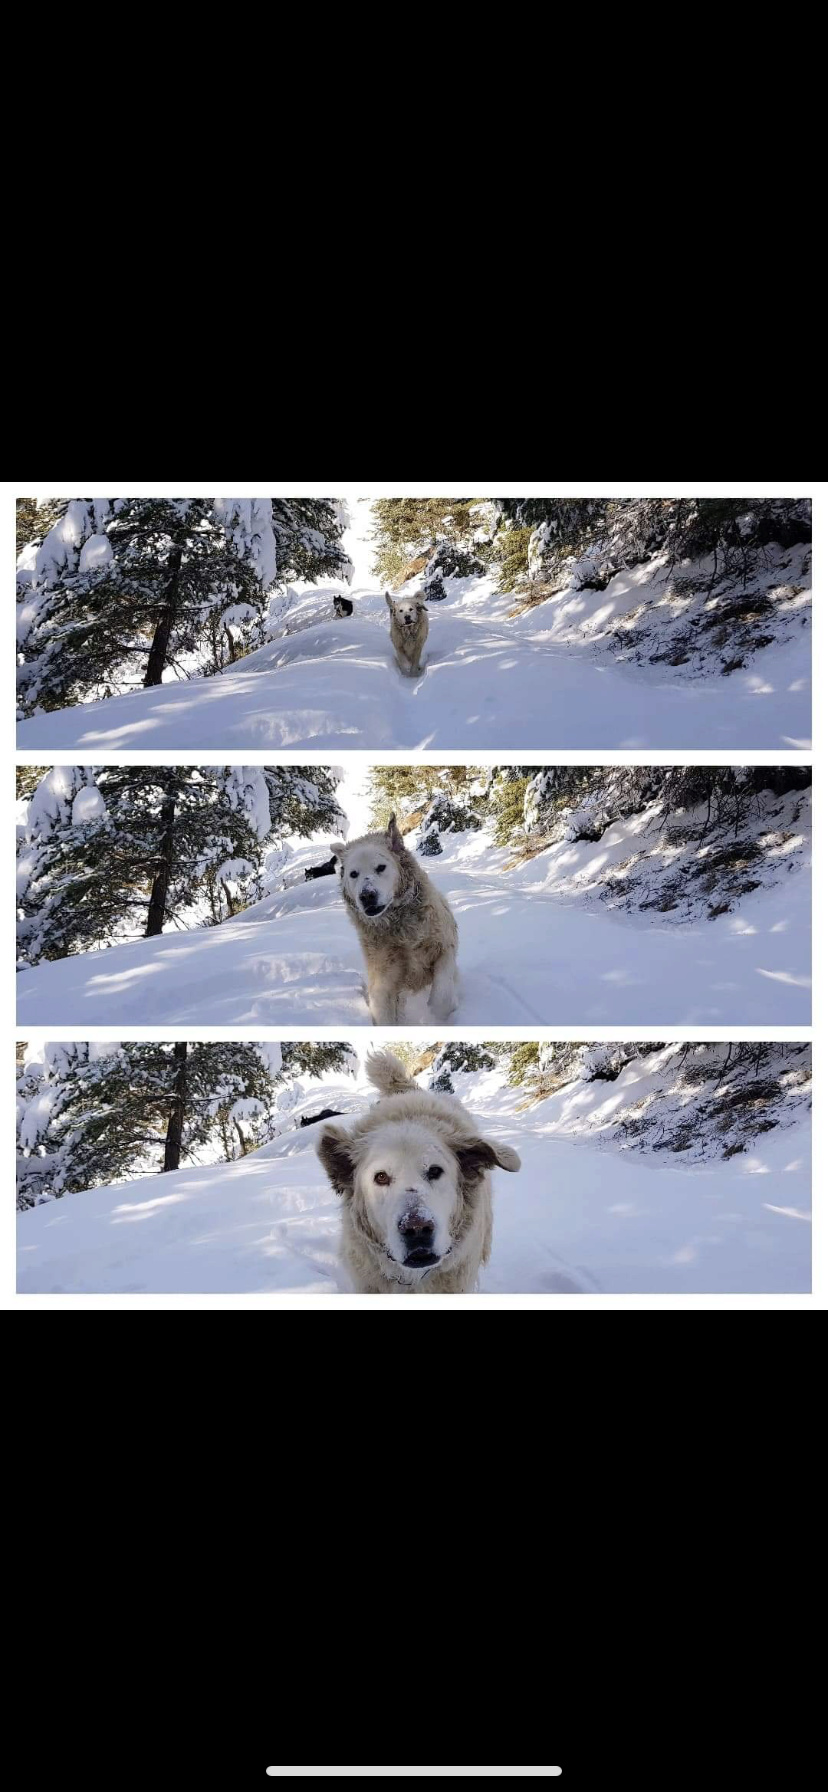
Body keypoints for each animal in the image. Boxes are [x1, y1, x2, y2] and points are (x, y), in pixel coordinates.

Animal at [329, 813, 458, 1025]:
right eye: (353, 874)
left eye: (381, 867)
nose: (367, 896)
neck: (400, 927)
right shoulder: (384, 979)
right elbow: (384, 1013)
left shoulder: (444, 947)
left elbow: (442, 996)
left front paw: (438, 1016)